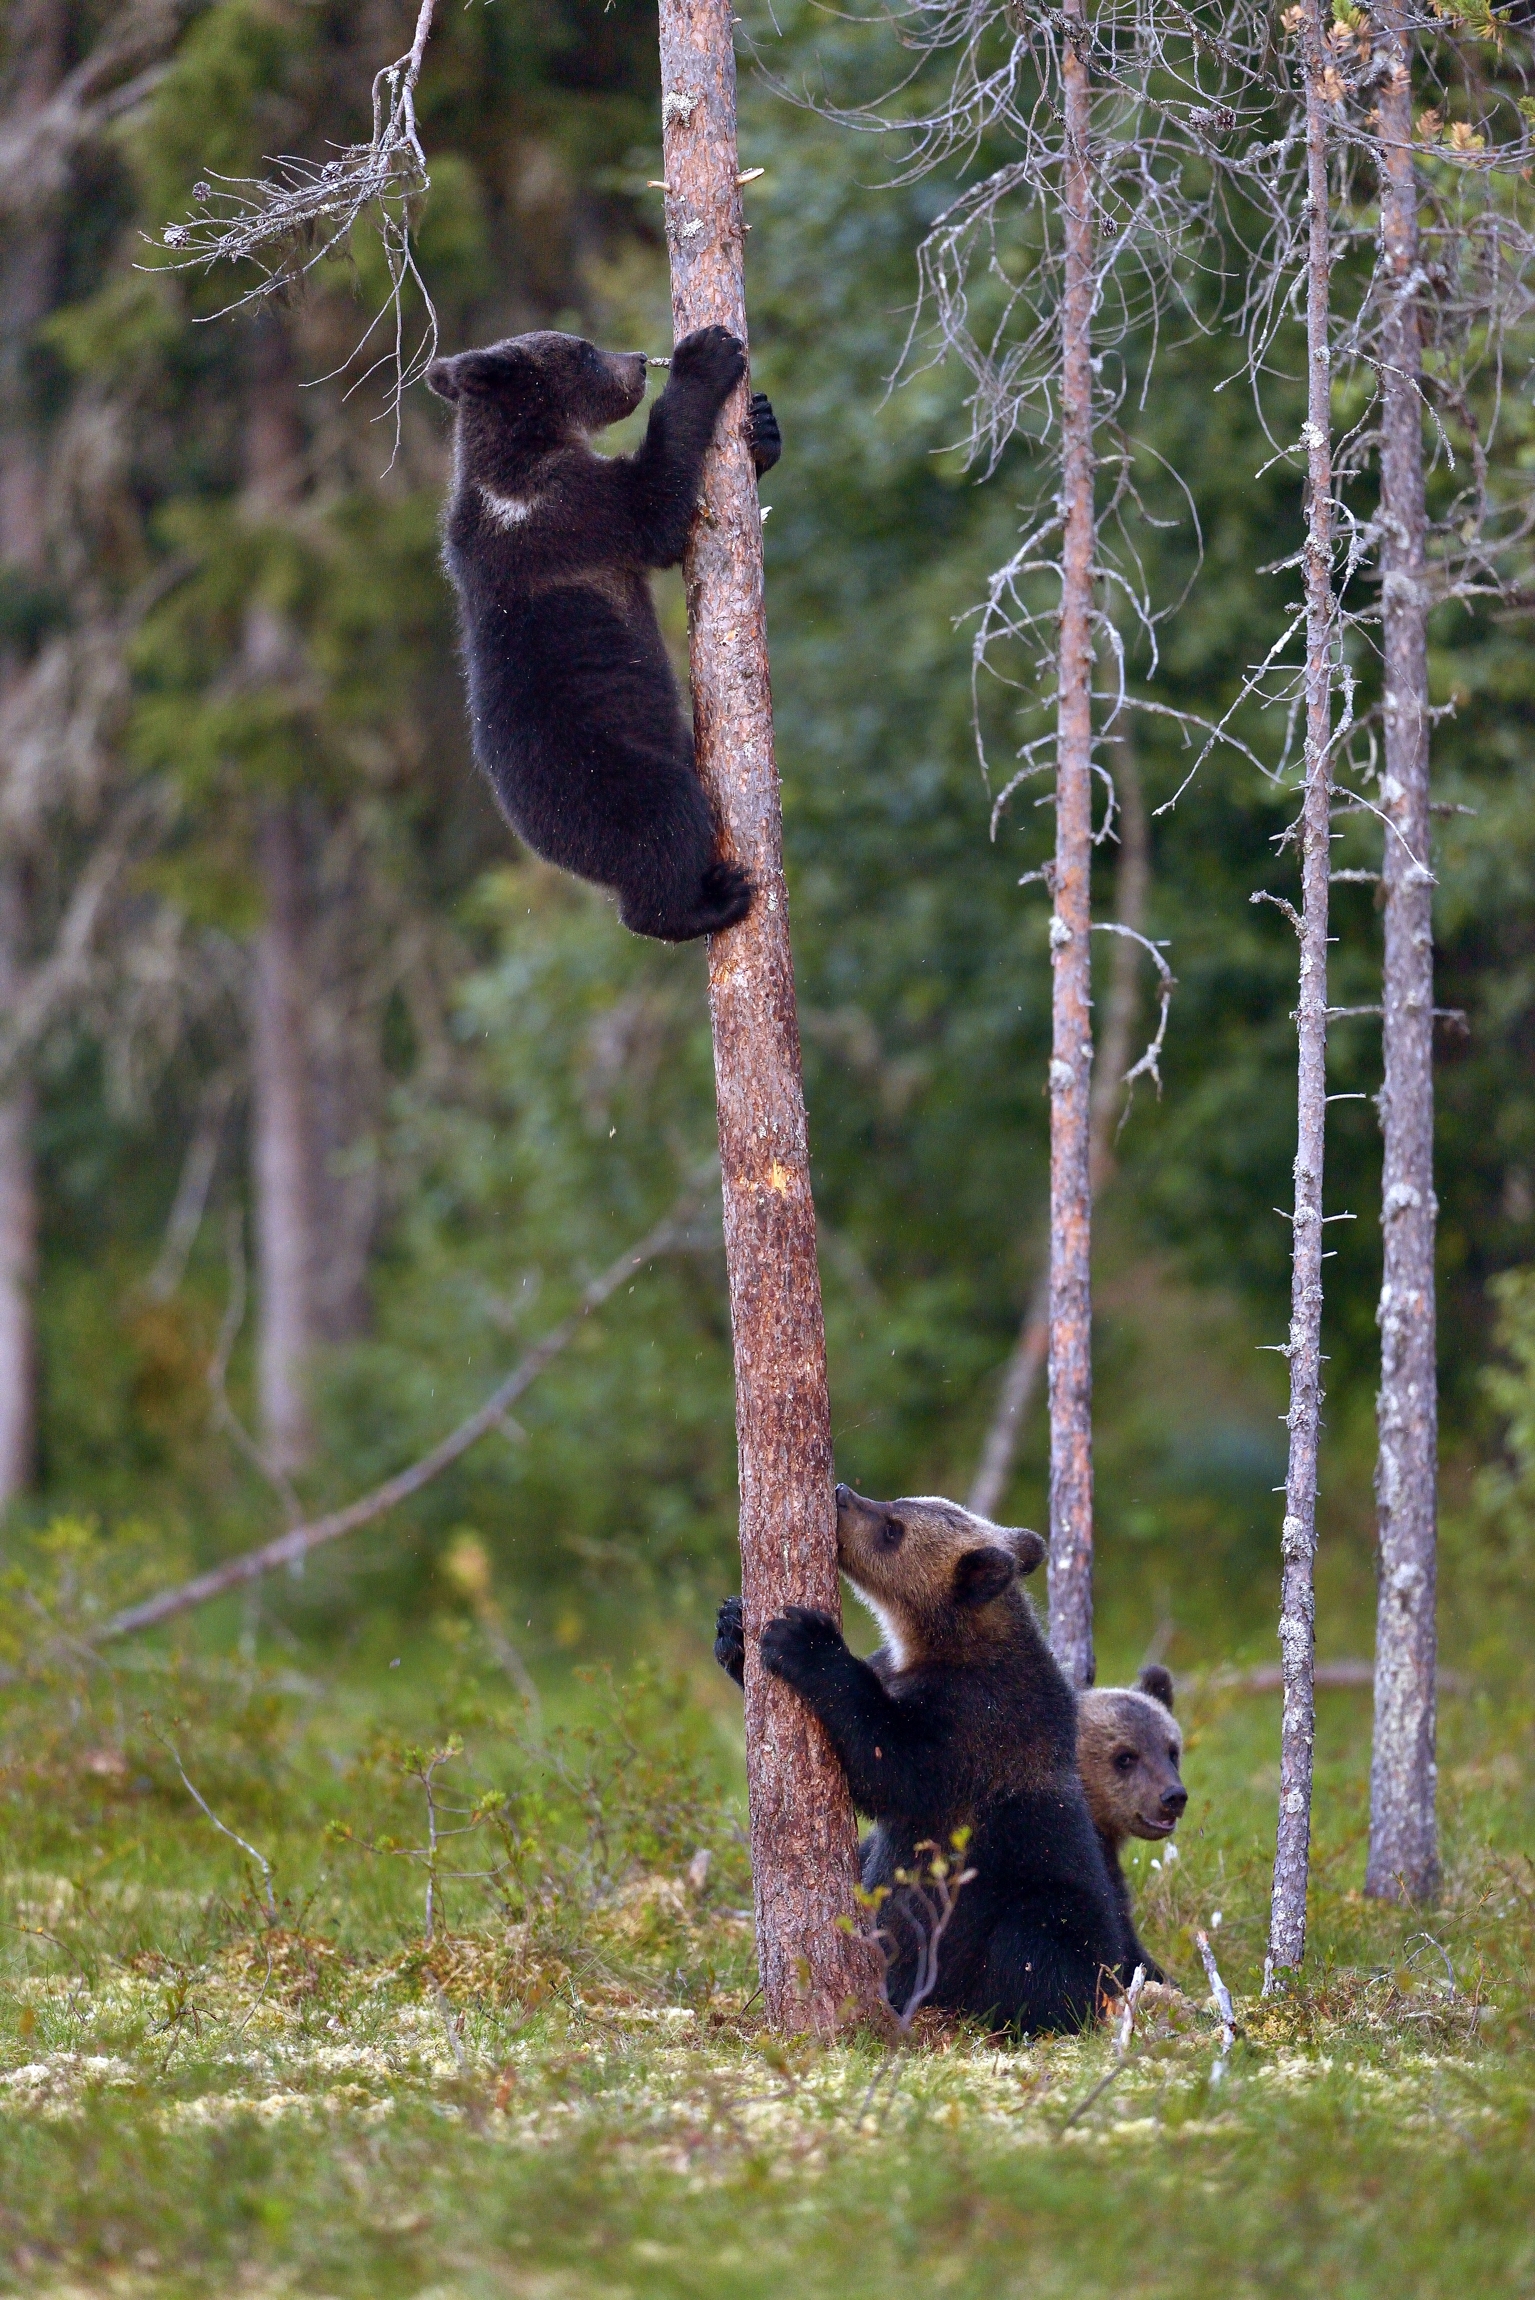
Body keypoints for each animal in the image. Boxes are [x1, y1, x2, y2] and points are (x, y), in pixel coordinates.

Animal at [427, 325, 780, 943]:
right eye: (584, 350)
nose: (637, 360)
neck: (523, 454)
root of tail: (540, 840)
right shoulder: (568, 511)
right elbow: (656, 504)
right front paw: (706, 356)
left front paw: (763, 425)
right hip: (602, 778)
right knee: (664, 820)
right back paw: (714, 901)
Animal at [714, 1484, 1125, 2035]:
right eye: (897, 1502)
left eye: (894, 1529)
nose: (841, 1494)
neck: (935, 1646)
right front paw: (734, 1626)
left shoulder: (979, 1721)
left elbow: (893, 1767)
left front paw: (804, 1638)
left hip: (1041, 1902)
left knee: (1035, 1946)